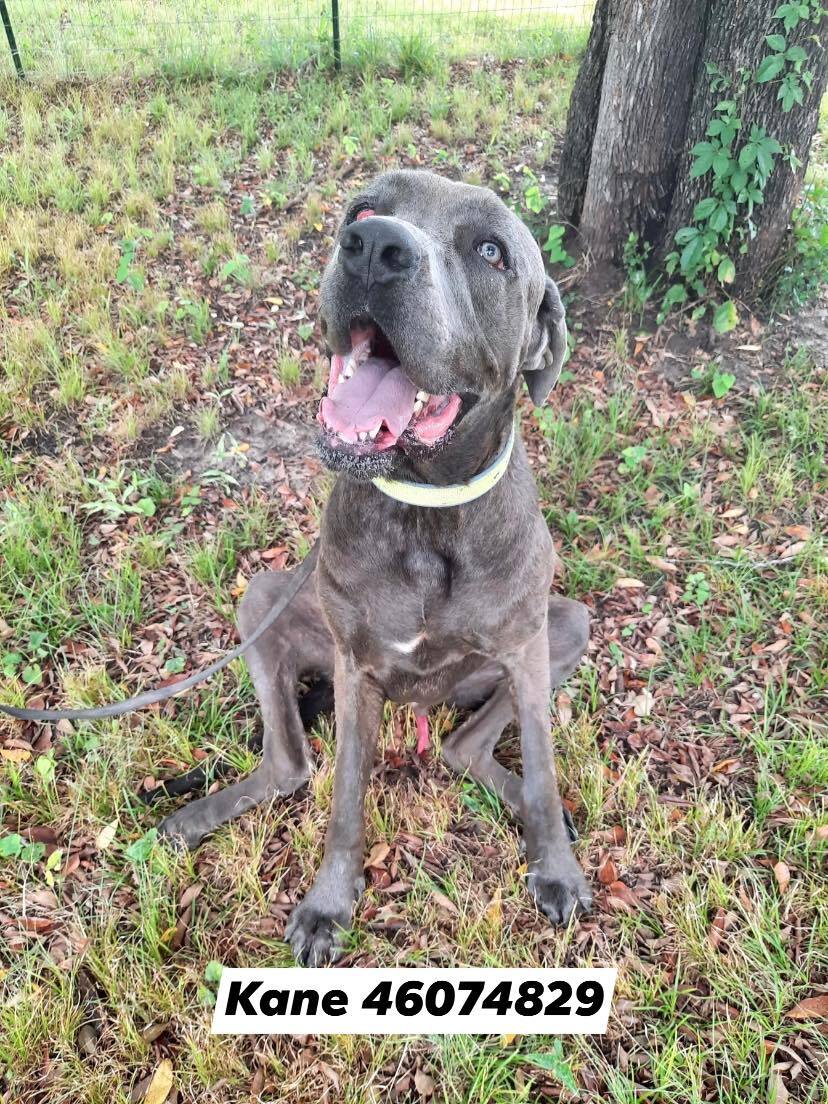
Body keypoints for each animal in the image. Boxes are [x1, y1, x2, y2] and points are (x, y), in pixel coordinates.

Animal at [160, 167, 591, 962]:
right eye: (365, 209)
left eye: (491, 251)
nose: (373, 247)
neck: (426, 510)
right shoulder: (355, 669)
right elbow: (344, 800)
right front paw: (330, 905)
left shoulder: (525, 648)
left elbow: (545, 774)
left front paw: (558, 869)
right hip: (262, 599)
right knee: (291, 766)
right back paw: (198, 816)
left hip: (566, 625)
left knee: (461, 746)